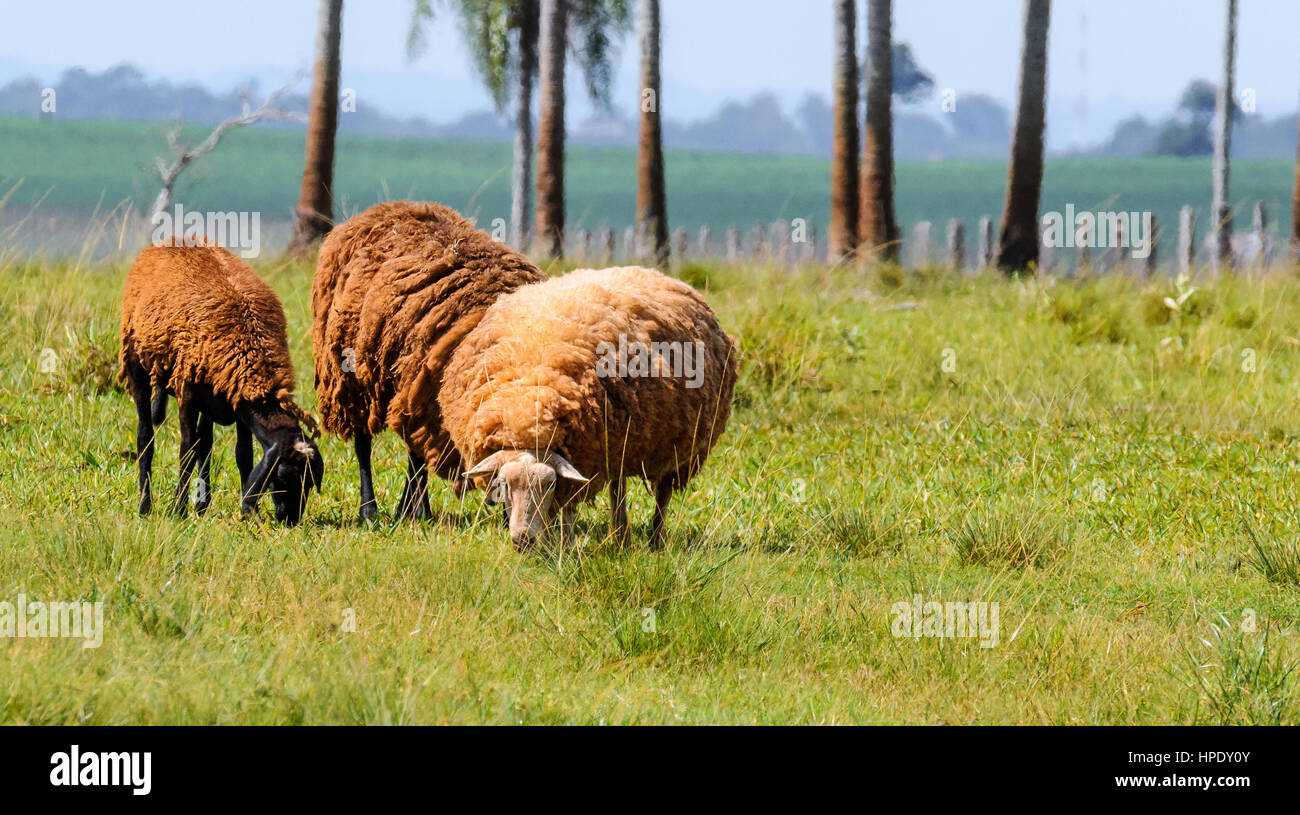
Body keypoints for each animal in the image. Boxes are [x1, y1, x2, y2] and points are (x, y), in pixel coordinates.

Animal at [118, 243, 324, 525]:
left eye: (310, 482)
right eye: (283, 476)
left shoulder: (238, 402)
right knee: (145, 437)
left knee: (205, 442)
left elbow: (243, 455)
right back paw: (145, 506)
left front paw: (248, 511)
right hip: (137, 365)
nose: (290, 519)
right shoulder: (188, 395)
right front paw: (178, 511)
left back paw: (202, 506)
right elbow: (186, 451)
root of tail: (166, 243)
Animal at [311, 200, 546, 521]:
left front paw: (414, 509)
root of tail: (387, 207)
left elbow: (419, 454)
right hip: (351, 378)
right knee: (364, 444)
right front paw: (413, 511)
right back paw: (370, 510)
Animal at [442, 265, 739, 550]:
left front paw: (563, 546)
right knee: (618, 486)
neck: (527, 407)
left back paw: (655, 540)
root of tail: (656, 273)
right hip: (620, 443)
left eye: (548, 484)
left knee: (662, 493)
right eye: (504, 484)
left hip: (679, 447)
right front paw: (548, 546)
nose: (522, 539)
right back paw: (620, 536)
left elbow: (566, 512)